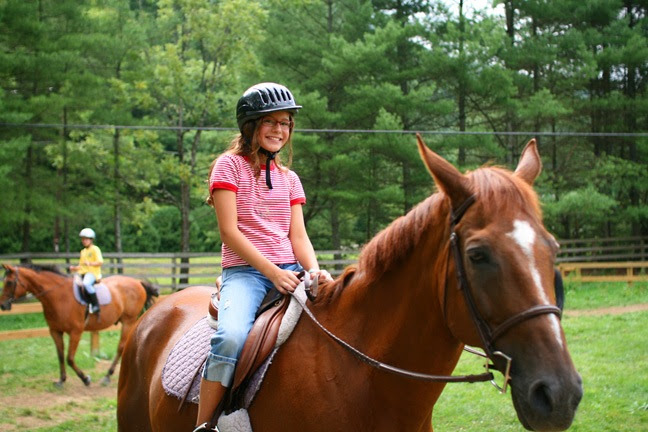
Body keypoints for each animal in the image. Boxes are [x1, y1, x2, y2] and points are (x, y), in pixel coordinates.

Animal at [0, 263, 158, 387]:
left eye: (9, 282)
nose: (3, 305)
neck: (58, 295)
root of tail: (138, 282)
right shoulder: (55, 331)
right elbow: (60, 355)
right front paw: (61, 380)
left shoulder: (76, 331)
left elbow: (69, 358)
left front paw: (85, 379)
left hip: (128, 321)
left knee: (121, 347)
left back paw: (108, 376)